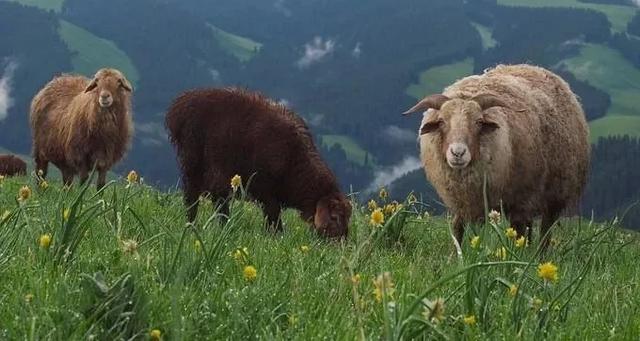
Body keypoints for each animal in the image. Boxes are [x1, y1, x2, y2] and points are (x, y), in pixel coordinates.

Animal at [165, 86, 352, 238]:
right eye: (334, 217)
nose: (340, 244)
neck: (294, 163)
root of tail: (179, 105)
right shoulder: (265, 189)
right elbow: (274, 218)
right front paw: (276, 238)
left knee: (218, 199)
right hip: (193, 163)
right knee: (192, 198)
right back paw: (193, 226)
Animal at [404, 63, 592, 248]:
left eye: (479, 122)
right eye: (442, 121)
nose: (458, 152)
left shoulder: (520, 200)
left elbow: (518, 232)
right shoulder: (460, 202)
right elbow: (457, 229)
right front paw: (457, 254)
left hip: (554, 194)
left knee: (545, 229)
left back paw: (539, 252)